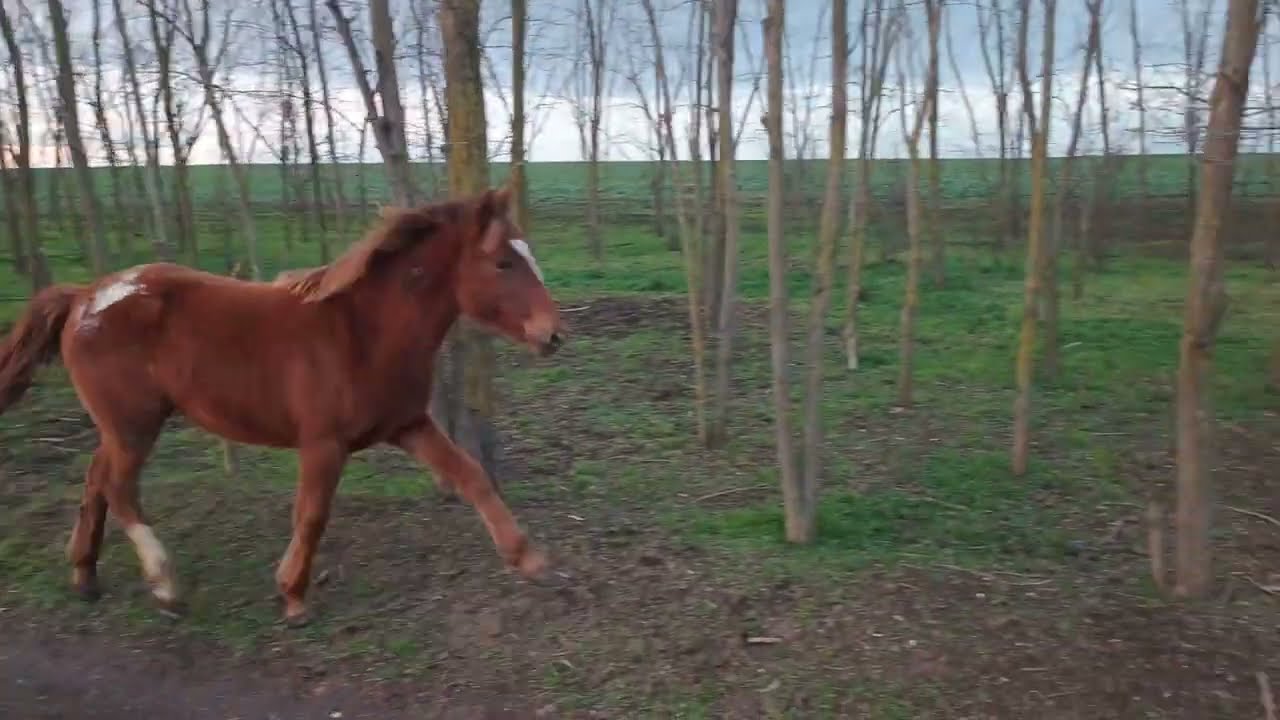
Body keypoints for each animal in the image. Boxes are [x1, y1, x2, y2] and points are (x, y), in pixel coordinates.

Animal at [0, 187, 564, 626]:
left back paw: (85, 577)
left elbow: (471, 475)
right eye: (503, 262)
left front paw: (530, 559)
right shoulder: (323, 443)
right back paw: (166, 588)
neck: (362, 333)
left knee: (95, 481)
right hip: (135, 424)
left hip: (119, 427)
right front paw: (293, 596)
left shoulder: (407, 424)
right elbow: (311, 514)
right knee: (118, 489)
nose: (553, 335)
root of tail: (85, 295)